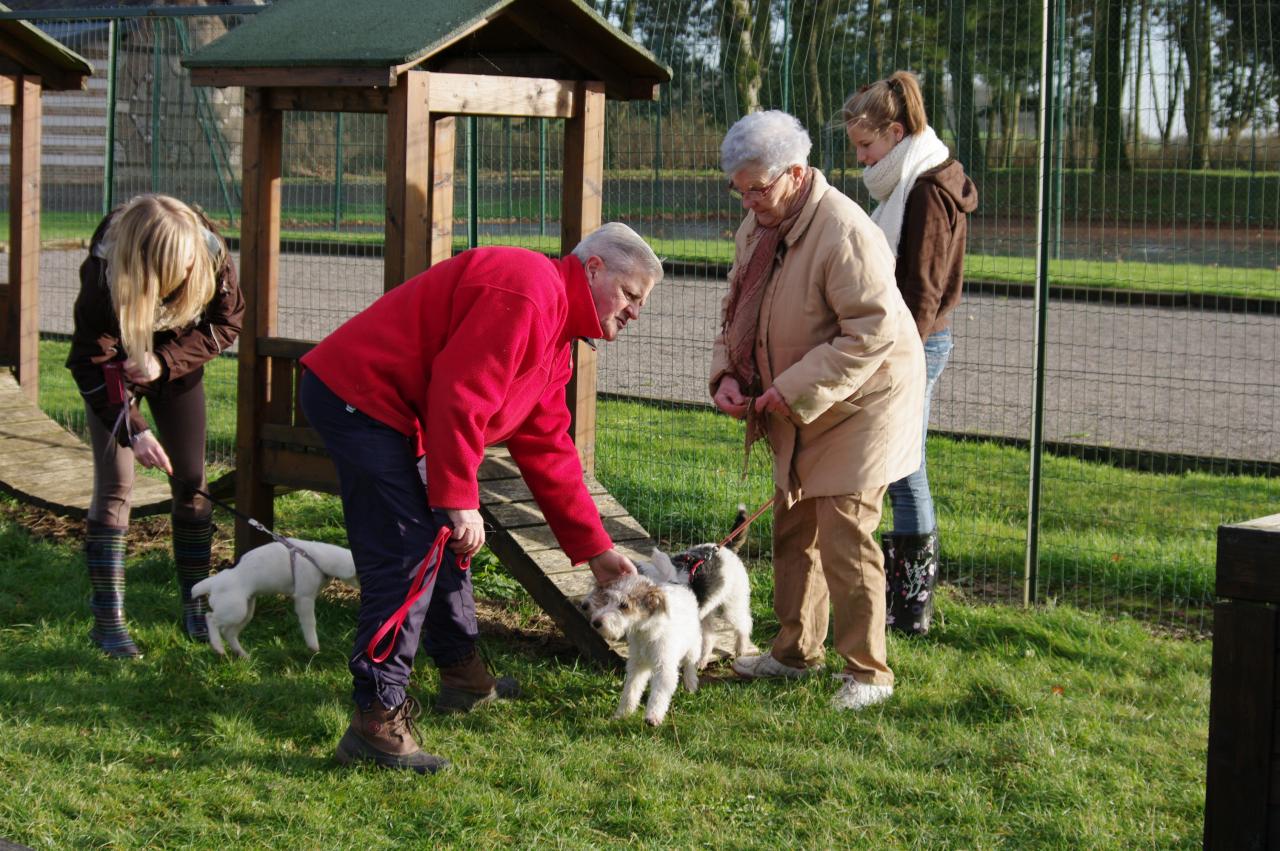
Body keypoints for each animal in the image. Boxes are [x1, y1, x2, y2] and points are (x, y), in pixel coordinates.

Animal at [186, 537, 355, 655]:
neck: (316, 557)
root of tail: (214, 582)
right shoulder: (304, 599)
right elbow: (310, 624)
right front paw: (314, 646)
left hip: (245, 612)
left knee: (228, 633)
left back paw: (241, 654)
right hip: (234, 611)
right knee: (210, 618)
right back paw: (218, 647)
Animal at [581, 570, 701, 721]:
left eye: (624, 605)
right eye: (608, 599)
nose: (596, 622)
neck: (645, 632)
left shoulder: (664, 669)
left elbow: (659, 694)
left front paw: (653, 716)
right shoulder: (637, 665)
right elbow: (631, 690)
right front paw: (622, 714)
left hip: (693, 646)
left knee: (690, 665)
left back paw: (691, 684)